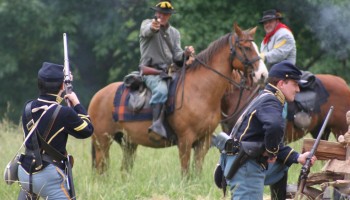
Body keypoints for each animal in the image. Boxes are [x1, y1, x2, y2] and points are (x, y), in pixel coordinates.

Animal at [88, 23, 268, 177]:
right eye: (246, 47)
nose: (263, 75)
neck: (200, 91)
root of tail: (98, 96)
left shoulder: (203, 141)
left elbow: (196, 172)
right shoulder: (185, 141)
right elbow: (185, 173)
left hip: (128, 143)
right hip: (102, 142)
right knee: (101, 170)